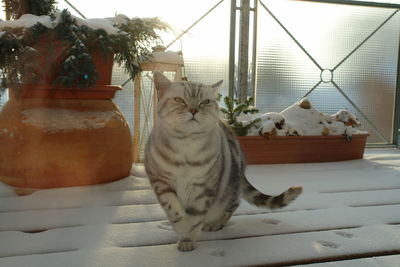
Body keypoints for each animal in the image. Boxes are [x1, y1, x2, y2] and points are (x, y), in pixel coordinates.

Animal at [145, 71, 302, 251]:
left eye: (205, 102)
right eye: (179, 100)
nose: (194, 110)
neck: (186, 145)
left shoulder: (203, 187)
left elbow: (194, 217)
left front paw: (188, 239)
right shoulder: (161, 182)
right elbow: (174, 210)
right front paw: (181, 230)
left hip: (227, 192)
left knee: (233, 205)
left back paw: (214, 224)